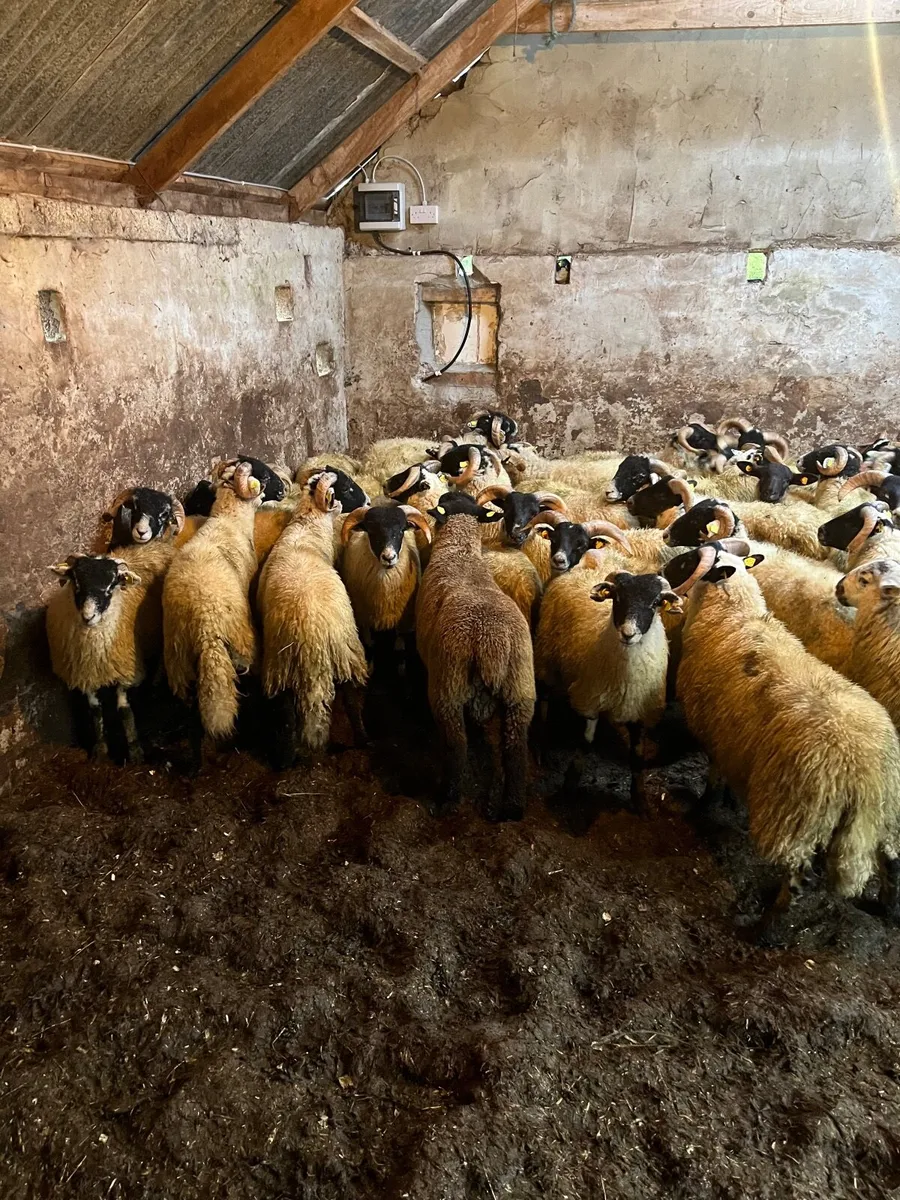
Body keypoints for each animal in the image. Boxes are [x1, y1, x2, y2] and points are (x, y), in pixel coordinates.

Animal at [46, 540, 175, 763]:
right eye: (76, 582)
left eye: (111, 586)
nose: (88, 616)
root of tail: (160, 544)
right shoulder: (85, 673)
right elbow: (95, 711)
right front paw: (100, 749)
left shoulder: (126, 670)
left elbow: (124, 711)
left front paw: (135, 751)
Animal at [257, 471, 368, 764]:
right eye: (347, 489)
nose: (368, 501)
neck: (307, 529)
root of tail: (312, 638)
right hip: (327, 654)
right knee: (348, 701)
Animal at [415, 491, 536, 821]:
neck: (461, 553)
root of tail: (492, 643)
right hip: (520, 692)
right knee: (515, 750)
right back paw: (512, 807)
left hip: (448, 687)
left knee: (457, 745)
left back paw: (448, 797)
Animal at [534, 561, 683, 806]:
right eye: (617, 597)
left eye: (655, 603)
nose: (628, 633)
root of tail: (583, 567)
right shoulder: (589, 698)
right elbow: (585, 743)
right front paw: (569, 786)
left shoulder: (640, 710)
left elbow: (637, 756)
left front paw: (640, 799)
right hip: (546, 658)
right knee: (543, 698)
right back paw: (540, 743)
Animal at [664, 542, 900, 936]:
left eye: (686, 560)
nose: (662, 572)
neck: (732, 615)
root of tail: (863, 774)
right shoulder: (736, 738)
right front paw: (730, 802)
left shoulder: (717, 732)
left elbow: (713, 777)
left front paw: (704, 807)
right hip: (886, 814)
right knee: (893, 861)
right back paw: (885, 909)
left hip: (797, 815)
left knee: (799, 876)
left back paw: (767, 927)